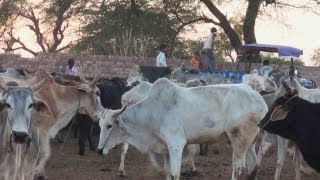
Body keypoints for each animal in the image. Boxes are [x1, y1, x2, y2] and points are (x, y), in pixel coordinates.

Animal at [97, 78, 268, 180]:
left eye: (109, 125)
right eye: (99, 125)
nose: (99, 150)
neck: (152, 111)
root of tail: (259, 98)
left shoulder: (176, 145)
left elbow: (175, 173)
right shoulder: (165, 148)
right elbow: (167, 172)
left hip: (239, 140)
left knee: (238, 170)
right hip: (251, 142)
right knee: (253, 167)